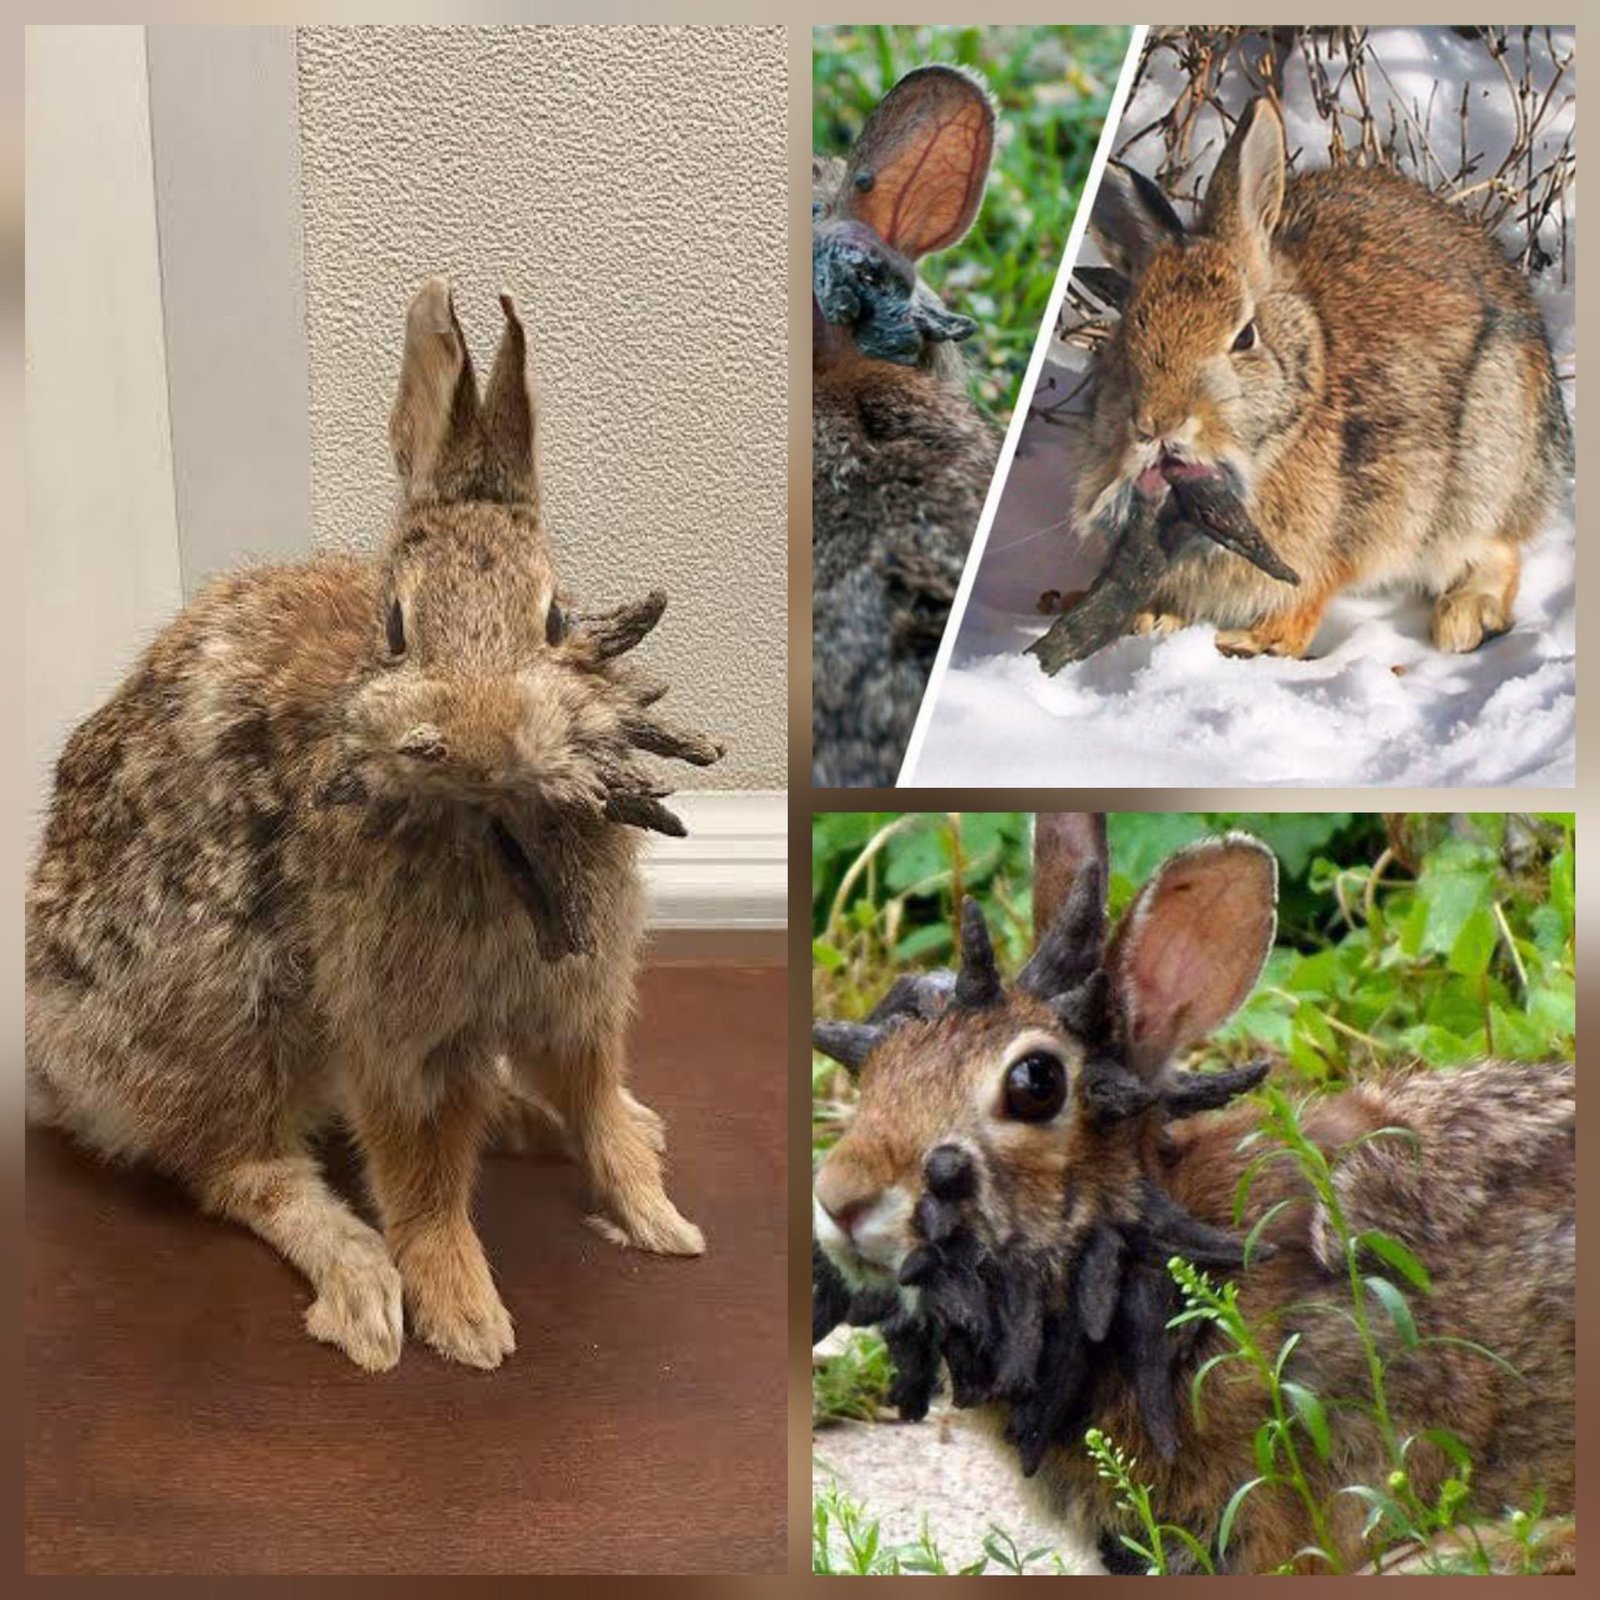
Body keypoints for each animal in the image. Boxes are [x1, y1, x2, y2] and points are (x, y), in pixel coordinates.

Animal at [26, 277, 724, 1373]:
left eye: (557, 620)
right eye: (395, 629)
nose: (479, 737)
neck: (490, 824)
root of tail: (57, 1071)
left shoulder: (579, 994)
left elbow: (594, 1095)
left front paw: (658, 1216)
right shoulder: (394, 1029)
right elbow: (420, 1173)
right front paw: (468, 1320)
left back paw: (538, 1125)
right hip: (228, 1018)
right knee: (236, 1168)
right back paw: (359, 1282)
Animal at [1055, 95, 1572, 662]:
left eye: (1244, 337)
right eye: (1127, 335)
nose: (1158, 424)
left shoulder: (1344, 536)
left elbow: (1309, 593)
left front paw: (1255, 641)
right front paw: (1153, 618)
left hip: (1484, 466)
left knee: (1497, 550)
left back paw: (1465, 619)